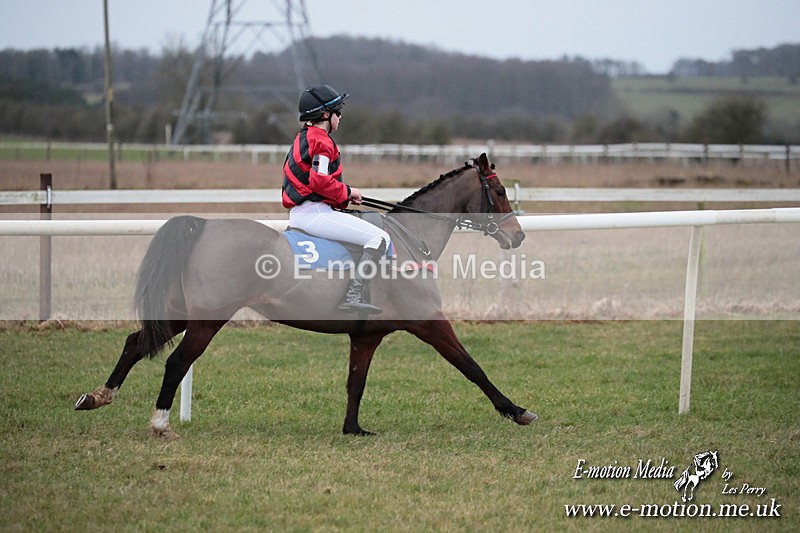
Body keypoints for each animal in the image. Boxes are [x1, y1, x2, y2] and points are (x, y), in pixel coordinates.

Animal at [75, 153, 537, 439]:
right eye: (499, 192)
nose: (518, 236)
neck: (409, 239)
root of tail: (204, 225)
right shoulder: (428, 320)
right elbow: (472, 366)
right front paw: (517, 411)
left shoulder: (366, 336)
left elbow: (356, 382)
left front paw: (353, 429)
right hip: (207, 319)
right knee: (176, 362)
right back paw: (160, 423)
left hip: (181, 313)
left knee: (135, 342)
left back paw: (96, 396)